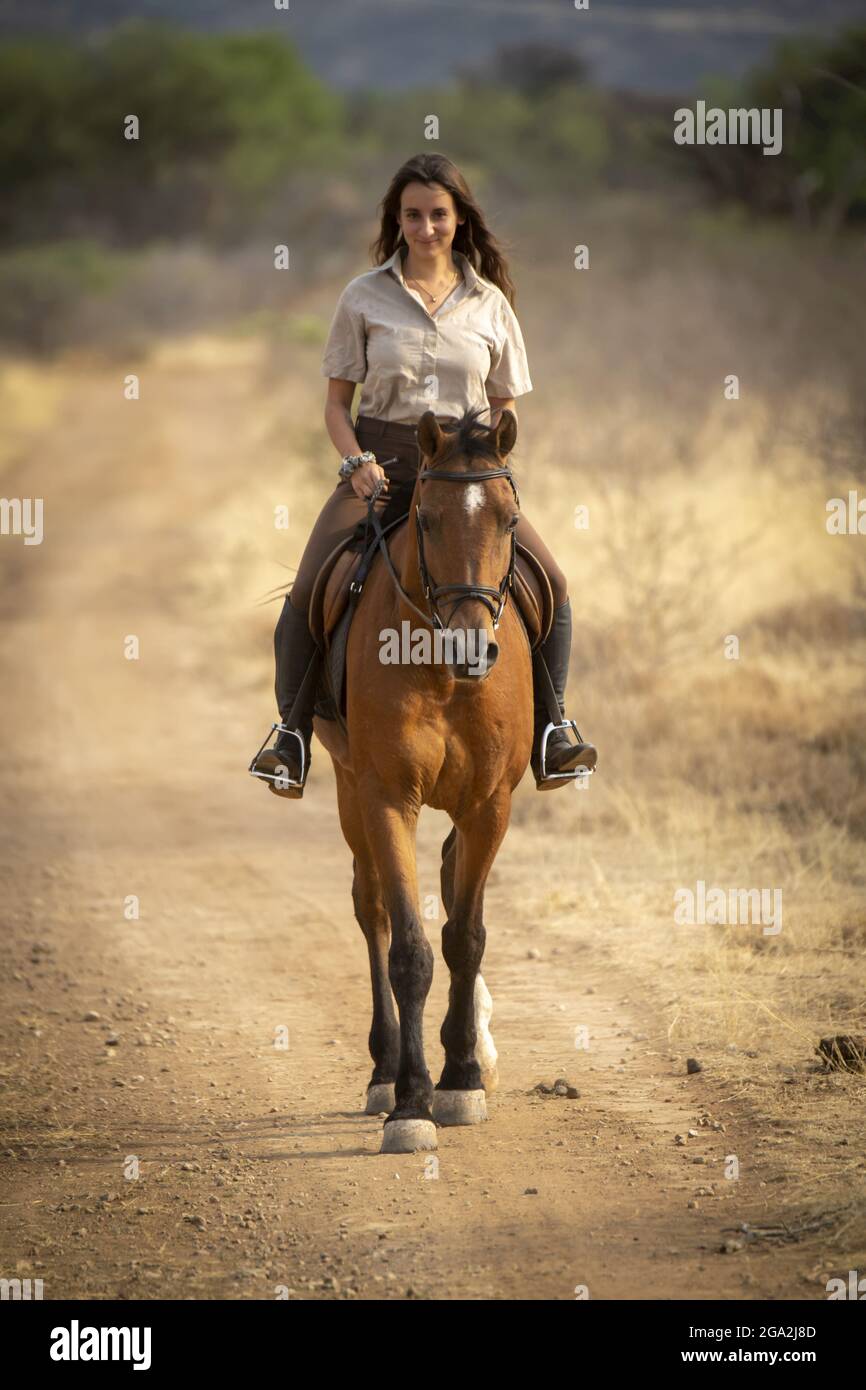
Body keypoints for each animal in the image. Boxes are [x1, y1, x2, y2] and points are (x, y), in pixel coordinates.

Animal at [315, 405, 530, 1156]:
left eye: (509, 520)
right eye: (428, 520)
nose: (472, 648)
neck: (440, 668)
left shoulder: (490, 805)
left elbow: (465, 936)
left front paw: (461, 1078)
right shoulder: (386, 796)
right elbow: (408, 948)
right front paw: (412, 1103)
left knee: (447, 878)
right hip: (347, 788)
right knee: (372, 909)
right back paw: (385, 1072)